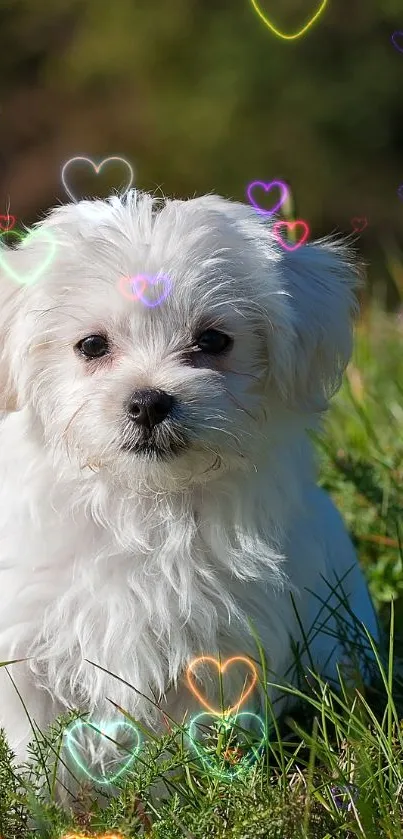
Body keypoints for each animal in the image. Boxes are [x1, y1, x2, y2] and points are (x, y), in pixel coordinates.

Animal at [0, 190, 378, 780]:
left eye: (213, 340)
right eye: (91, 345)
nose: (148, 401)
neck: (146, 504)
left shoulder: (220, 648)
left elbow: (184, 748)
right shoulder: (27, 645)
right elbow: (33, 749)